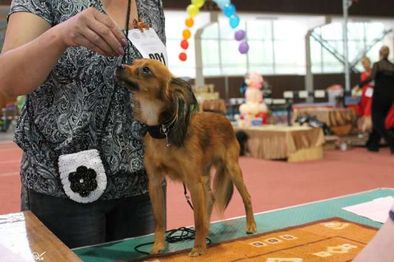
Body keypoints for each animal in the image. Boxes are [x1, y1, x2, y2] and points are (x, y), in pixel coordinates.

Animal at [114, 58, 255, 256]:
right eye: (133, 63)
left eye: (146, 70)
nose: (119, 66)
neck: (163, 131)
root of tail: (225, 119)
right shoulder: (155, 183)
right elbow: (159, 220)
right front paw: (158, 245)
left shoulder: (193, 181)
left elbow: (197, 218)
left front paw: (199, 247)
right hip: (204, 174)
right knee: (210, 200)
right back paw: (207, 230)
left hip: (231, 169)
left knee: (246, 197)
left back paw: (250, 225)